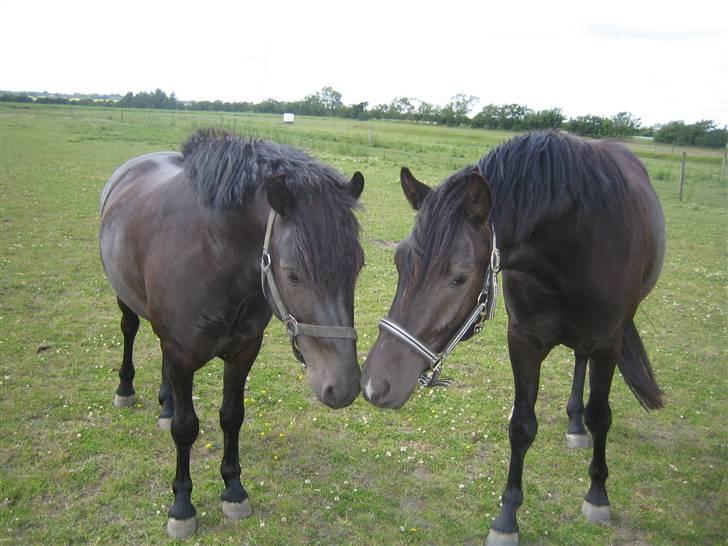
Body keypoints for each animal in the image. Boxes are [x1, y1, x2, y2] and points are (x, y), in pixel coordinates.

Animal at [98, 129, 364, 536]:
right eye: (292, 274)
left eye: (358, 266)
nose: (344, 386)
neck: (214, 256)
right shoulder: (181, 354)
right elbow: (186, 428)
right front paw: (182, 506)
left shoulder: (243, 352)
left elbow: (231, 416)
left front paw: (234, 490)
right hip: (126, 300)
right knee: (129, 330)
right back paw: (126, 390)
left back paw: (165, 403)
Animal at [362, 132, 664, 544]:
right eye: (399, 260)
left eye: (459, 277)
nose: (375, 385)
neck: (576, 241)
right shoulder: (523, 341)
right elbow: (521, 426)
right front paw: (507, 518)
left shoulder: (608, 343)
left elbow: (601, 416)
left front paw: (597, 495)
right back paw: (574, 424)